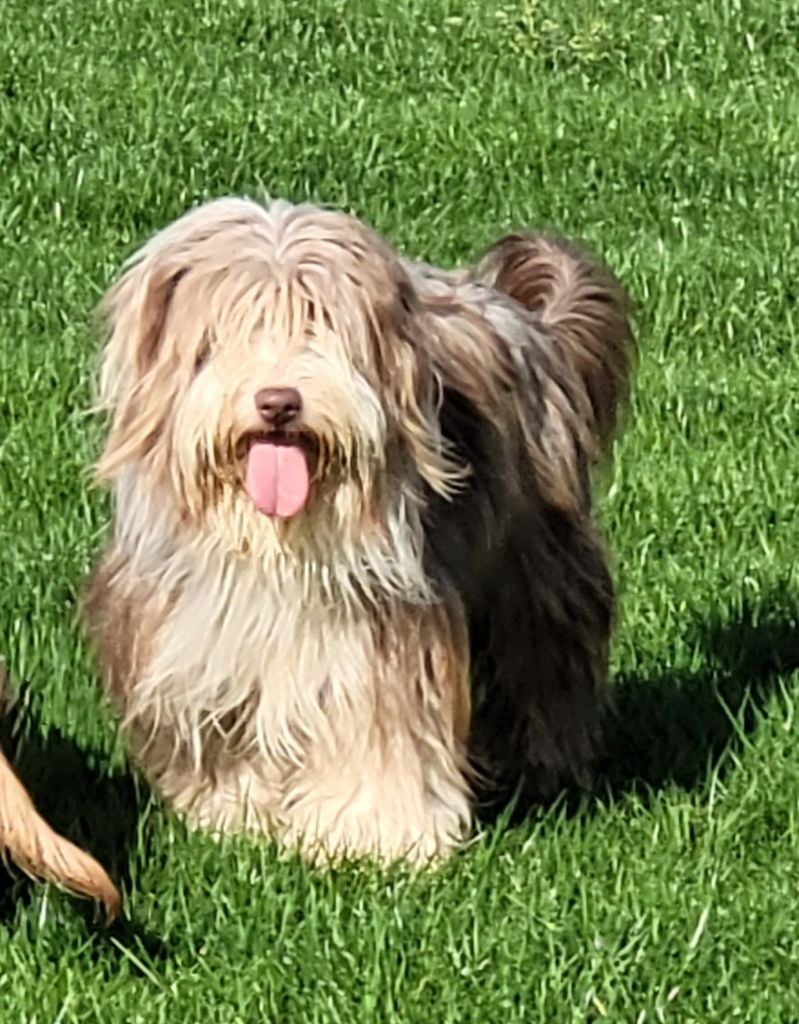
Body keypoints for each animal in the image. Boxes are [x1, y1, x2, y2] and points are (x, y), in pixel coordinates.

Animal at [84, 193, 635, 864]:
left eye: (321, 324)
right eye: (230, 331)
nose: (278, 402)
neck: (277, 542)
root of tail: (525, 317)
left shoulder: (381, 636)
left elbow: (379, 736)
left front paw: (371, 836)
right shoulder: (194, 643)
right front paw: (235, 817)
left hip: (534, 567)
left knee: (547, 660)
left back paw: (541, 767)